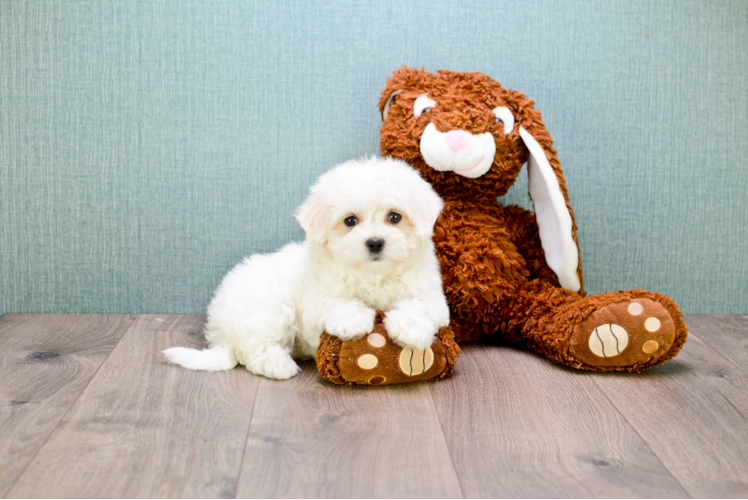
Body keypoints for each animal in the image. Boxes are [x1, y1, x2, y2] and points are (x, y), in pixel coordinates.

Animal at [164, 156, 450, 378]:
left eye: (394, 217)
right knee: (254, 349)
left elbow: (418, 305)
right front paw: (355, 320)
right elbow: (337, 303)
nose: (375, 242)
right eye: (350, 221)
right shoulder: (317, 298)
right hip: (268, 310)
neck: (373, 275)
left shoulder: (431, 295)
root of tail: (221, 333)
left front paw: (410, 329)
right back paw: (278, 364)